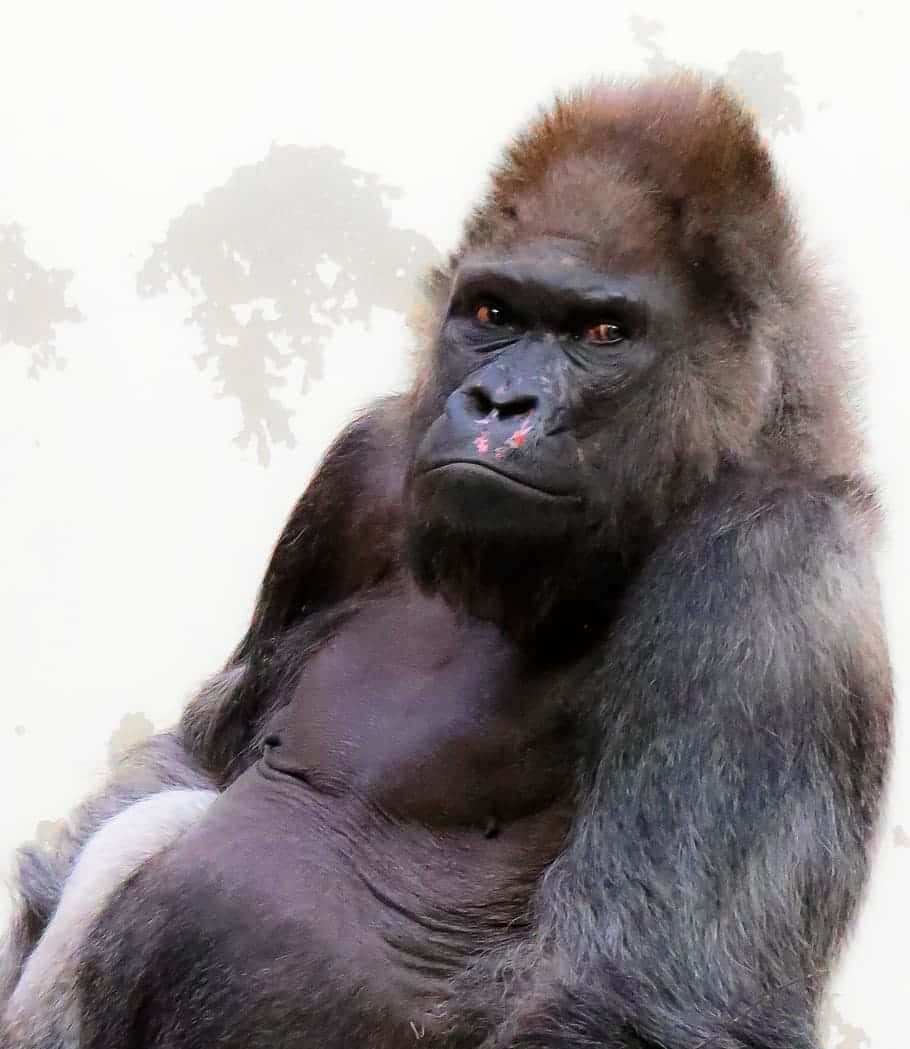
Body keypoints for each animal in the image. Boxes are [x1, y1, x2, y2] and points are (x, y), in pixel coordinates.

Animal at [1, 73, 892, 1049]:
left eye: (603, 332)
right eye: (492, 313)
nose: (499, 402)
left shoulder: (771, 571)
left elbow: (635, 996)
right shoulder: (357, 474)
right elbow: (191, 760)